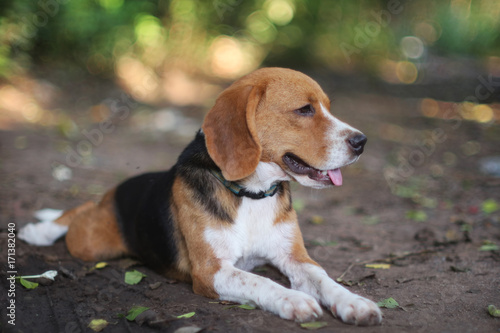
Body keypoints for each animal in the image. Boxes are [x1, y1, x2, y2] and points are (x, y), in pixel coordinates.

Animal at [17, 67, 380, 324]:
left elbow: (324, 279)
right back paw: (41, 229)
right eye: (305, 110)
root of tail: (117, 191)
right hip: (91, 243)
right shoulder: (211, 271)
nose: (362, 142)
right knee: (78, 211)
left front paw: (355, 303)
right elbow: (261, 283)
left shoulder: (295, 258)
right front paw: (293, 300)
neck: (252, 195)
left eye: (327, 108)